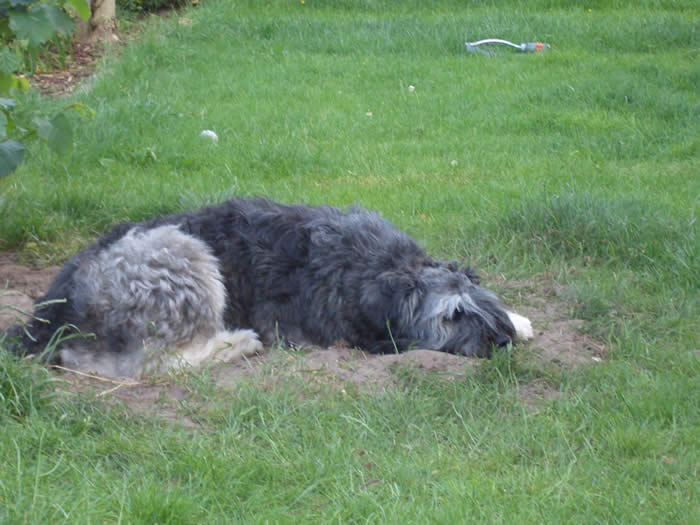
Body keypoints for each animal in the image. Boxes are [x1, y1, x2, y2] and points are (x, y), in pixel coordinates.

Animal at [4, 198, 532, 376]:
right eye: (451, 317)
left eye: (482, 303)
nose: (500, 340)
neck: (377, 270)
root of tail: (51, 311)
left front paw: (522, 320)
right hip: (180, 253)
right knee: (132, 364)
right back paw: (236, 343)